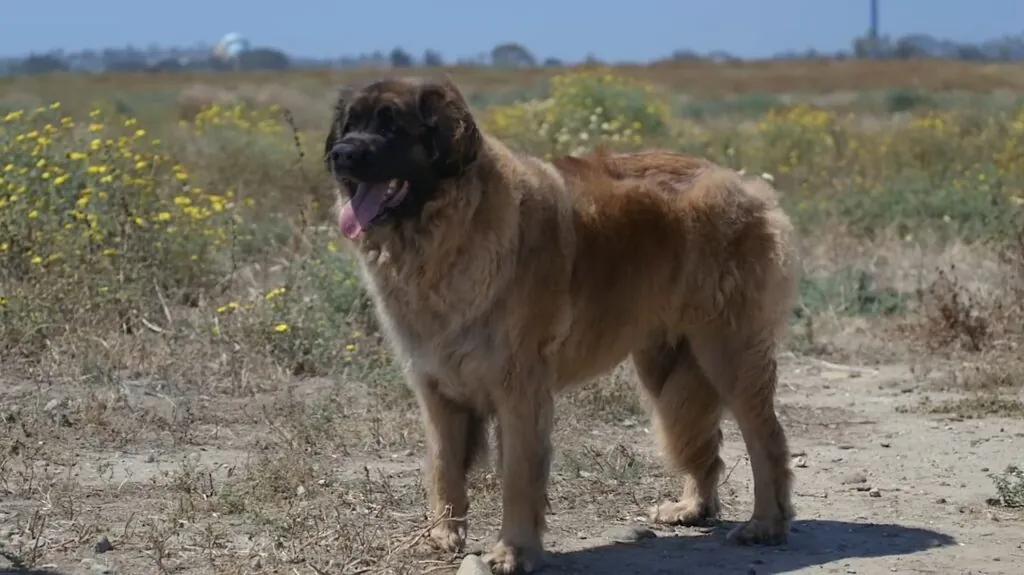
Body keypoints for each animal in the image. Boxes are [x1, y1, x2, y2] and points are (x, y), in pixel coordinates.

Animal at [323, 77, 802, 572]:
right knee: (704, 434)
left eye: (391, 126)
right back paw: (693, 507)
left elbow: (518, 476)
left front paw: (514, 550)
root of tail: (747, 185)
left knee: (766, 439)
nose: (340, 154)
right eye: (350, 125)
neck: (445, 232)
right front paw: (442, 535)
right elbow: (444, 467)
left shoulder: (519, 390)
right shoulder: (438, 389)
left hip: (729, 353)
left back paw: (766, 524)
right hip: (666, 365)